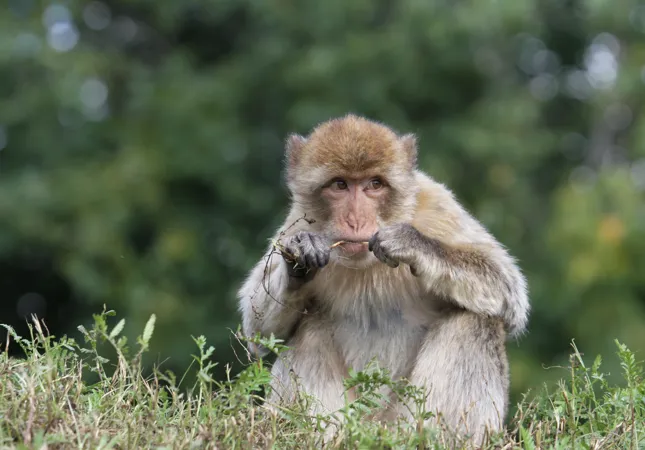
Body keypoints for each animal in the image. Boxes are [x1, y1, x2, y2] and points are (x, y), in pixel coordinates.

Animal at [237, 114, 529, 444]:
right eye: (340, 184)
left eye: (374, 184)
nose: (356, 220)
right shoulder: (296, 223)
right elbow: (260, 331)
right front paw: (301, 258)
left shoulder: (436, 205)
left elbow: (507, 287)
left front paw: (413, 245)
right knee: (310, 329)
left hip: (403, 420)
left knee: (475, 320)